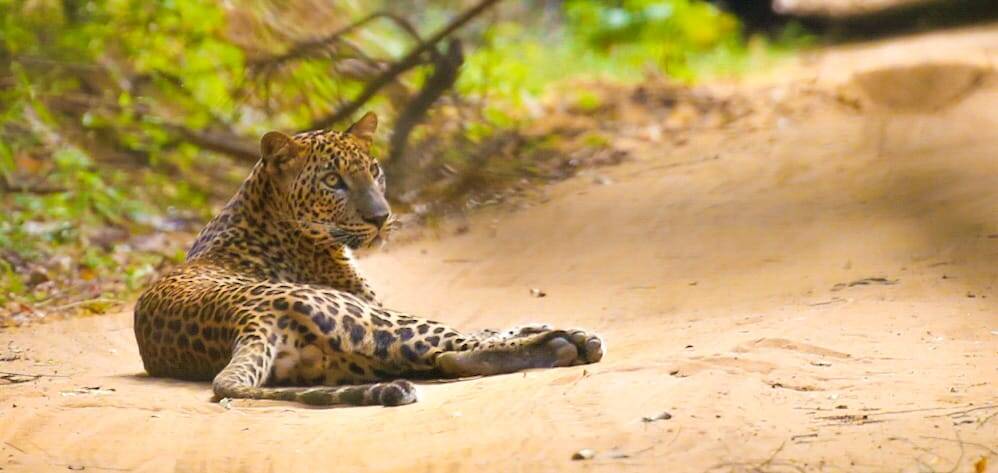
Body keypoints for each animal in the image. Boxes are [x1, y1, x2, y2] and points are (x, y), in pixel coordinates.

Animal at [133, 112, 604, 407]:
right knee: (453, 350)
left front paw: (537, 322)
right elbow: (480, 330)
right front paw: (548, 327)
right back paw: (569, 343)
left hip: (349, 359)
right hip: (370, 318)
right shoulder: (373, 303)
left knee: (448, 354)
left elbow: (488, 326)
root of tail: (245, 321)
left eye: (374, 171)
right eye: (332, 181)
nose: (381, 217)